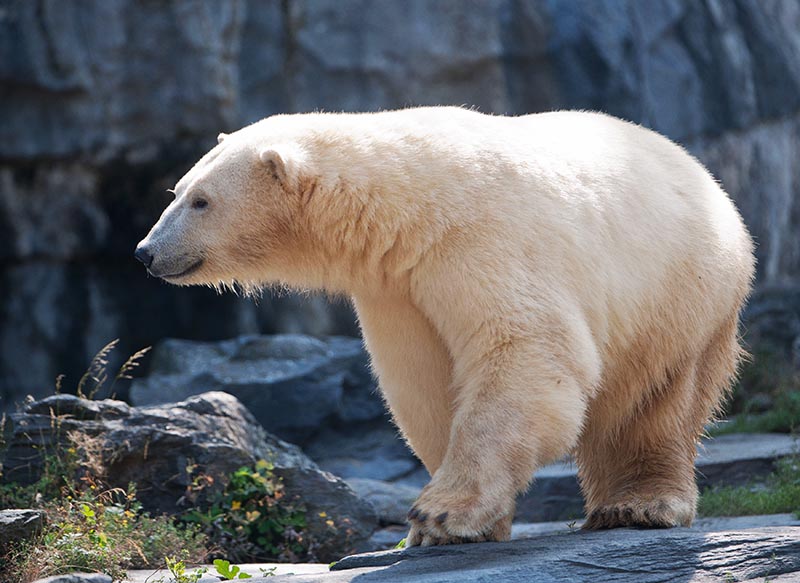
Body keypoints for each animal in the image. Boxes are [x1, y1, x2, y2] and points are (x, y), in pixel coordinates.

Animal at [136, 108, 756, 548]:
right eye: (176, 192)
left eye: (201, 201)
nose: (146, 252)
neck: (411, 204)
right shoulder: (397, 287)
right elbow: (423, 383)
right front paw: (457, 525)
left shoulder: (485, 242)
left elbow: (525, 353)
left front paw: (441, 514)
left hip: (679, 293)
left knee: (657, 400)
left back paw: (639, 505)